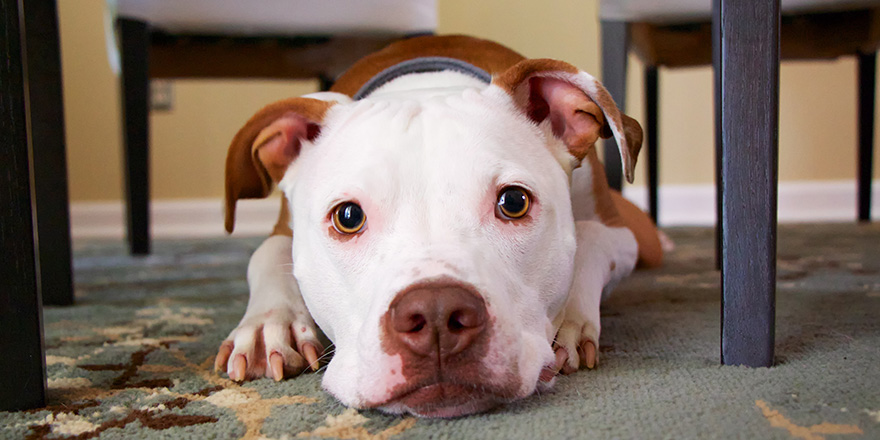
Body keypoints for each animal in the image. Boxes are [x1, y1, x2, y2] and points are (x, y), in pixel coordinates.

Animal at [217, 36, 664, 418]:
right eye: (348, 217)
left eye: (514, 202)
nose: (435, 314)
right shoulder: (283, 230)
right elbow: (266, 253)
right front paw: (269, 326)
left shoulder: (621, 234)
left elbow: (589, 238)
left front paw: (569, 319)